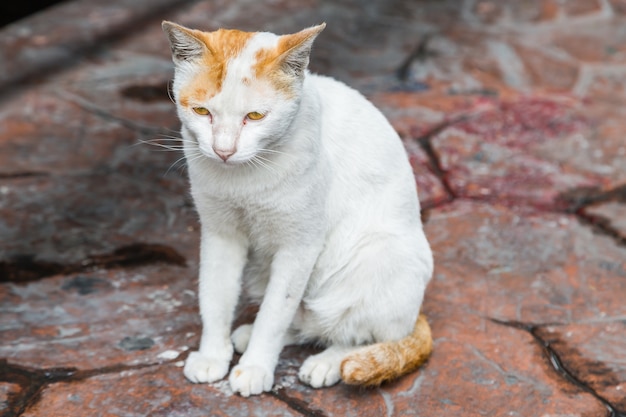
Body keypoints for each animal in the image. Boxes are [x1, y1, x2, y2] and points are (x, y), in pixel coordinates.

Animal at [162, 20, 434, 396]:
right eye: (203, 112)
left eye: (255, 116)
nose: (223, 150)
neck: (244, 177)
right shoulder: (219, 233)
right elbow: (215, 296)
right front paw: (212, 355)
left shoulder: (300, 246)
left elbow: (275, 314)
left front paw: (256, 367)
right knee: (303, 321)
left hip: (383, 254)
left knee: (365, 334)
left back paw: (327, 363)